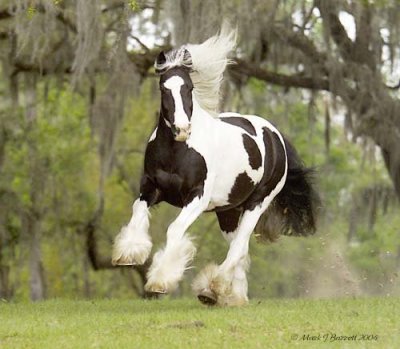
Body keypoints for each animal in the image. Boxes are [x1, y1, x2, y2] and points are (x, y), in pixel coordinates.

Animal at [111, 25, 318, 306]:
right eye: (163, 88)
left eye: (188, 88)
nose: (182, 130)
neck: (177, 152)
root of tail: (275, 136)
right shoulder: (151, 188)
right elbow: (137, 210)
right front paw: (129, 253)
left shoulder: (196, 197)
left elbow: (175, 229)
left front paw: (160, 281)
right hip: (227, 211)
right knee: (240, 250)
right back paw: (231, 295)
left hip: (257, 203)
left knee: (239, 247)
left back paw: (212, 288)